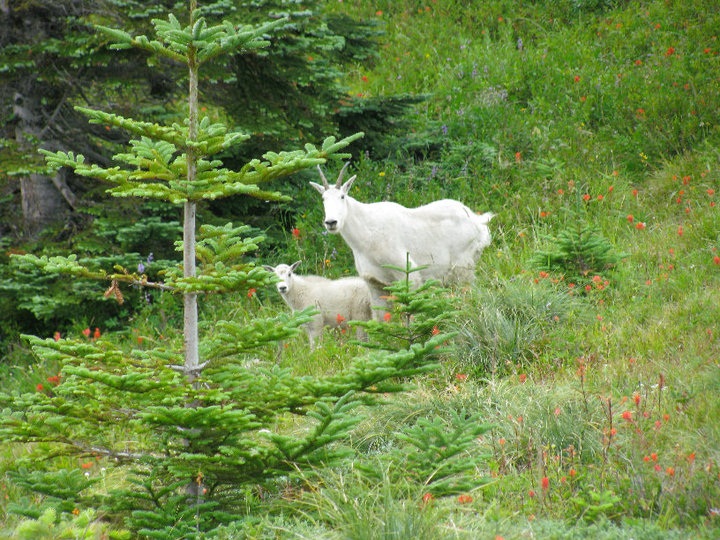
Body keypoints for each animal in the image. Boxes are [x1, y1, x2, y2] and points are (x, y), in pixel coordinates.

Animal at [310, 163, 494, 316]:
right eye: (323, 198)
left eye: (342, 196)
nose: (331, 222)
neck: (366, 236)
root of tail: (479, 222)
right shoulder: (375, 284)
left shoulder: (409, 276)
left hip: (463, 268)